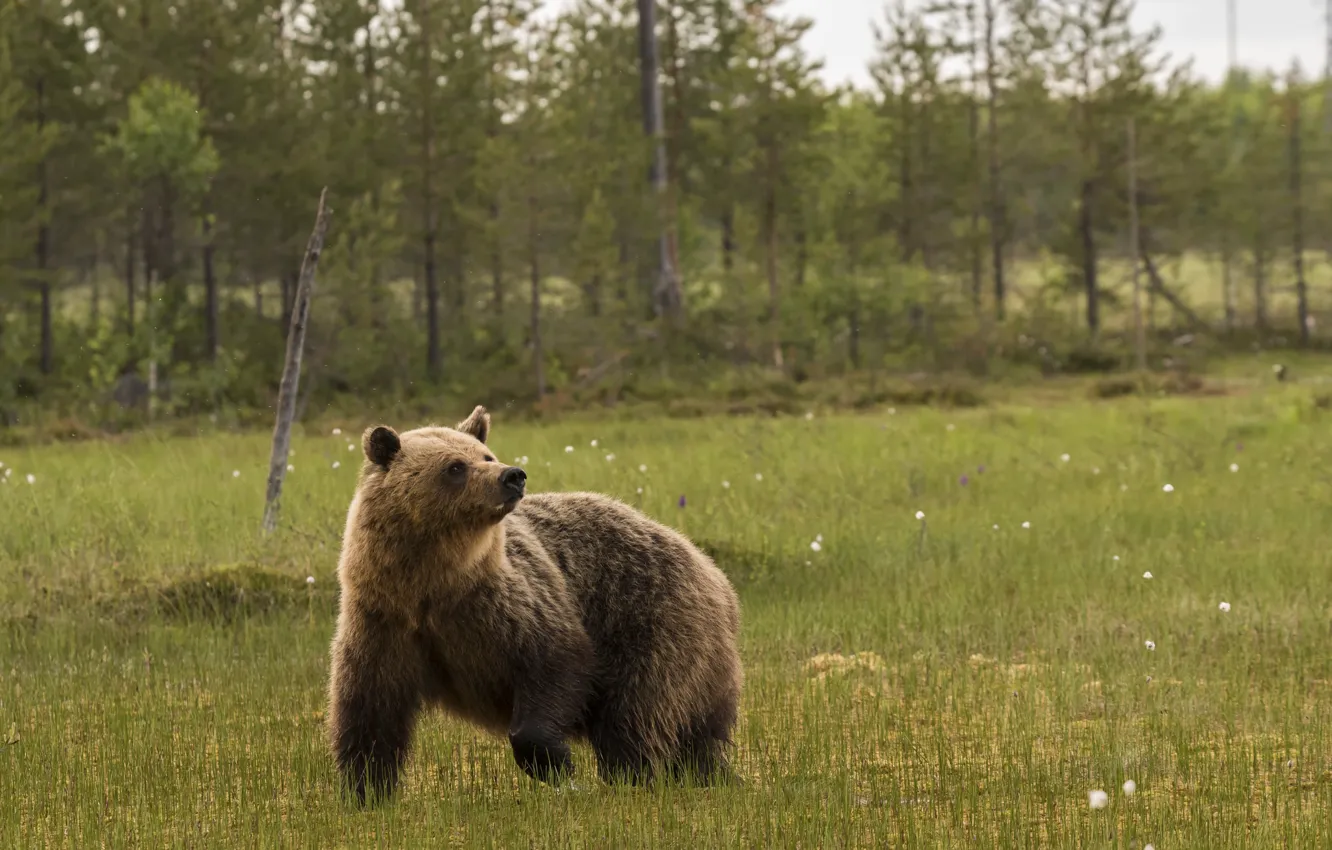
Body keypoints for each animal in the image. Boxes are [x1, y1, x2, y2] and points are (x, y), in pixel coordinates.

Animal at [325, 405, 744, 803]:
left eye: (486, 455)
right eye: (455, 466)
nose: (512, 475)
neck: (434, 584)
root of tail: (714, 573)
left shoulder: (511, 605)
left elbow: (555, 662)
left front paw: (557, 764)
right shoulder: (383, 621)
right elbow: (370, 711)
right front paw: (365, 791)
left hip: (653, 620)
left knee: (636, 712)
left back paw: (637, 777)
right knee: (694, 735)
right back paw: (713, 776)